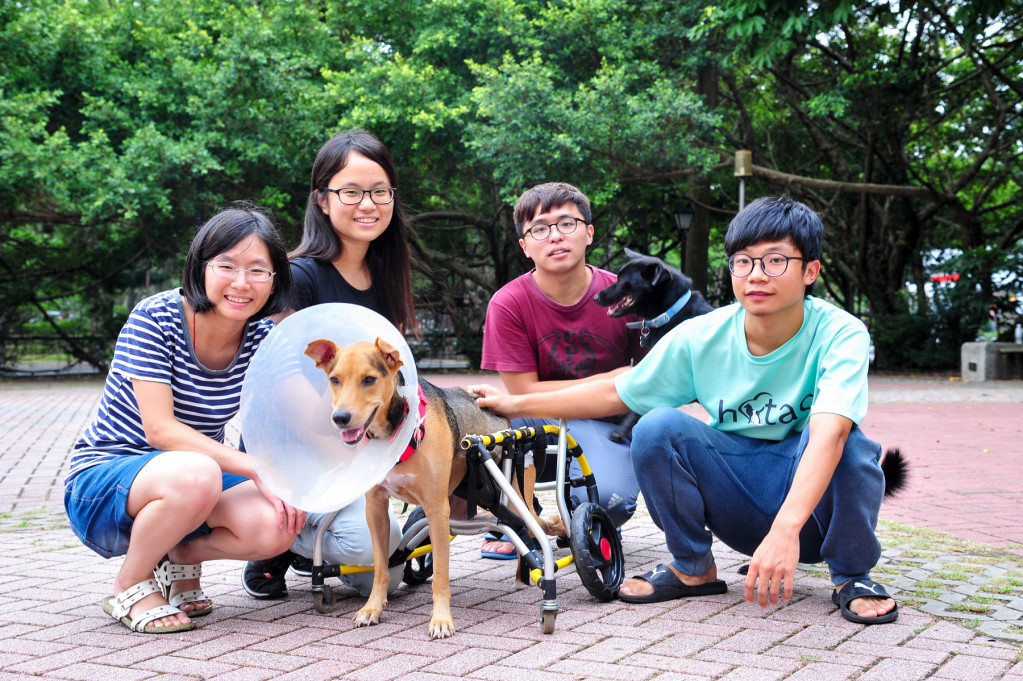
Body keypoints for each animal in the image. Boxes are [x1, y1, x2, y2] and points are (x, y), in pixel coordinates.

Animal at [302, 337, 519, 638]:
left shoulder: (437, 509)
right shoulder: (376, 508)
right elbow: (381, 567)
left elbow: (440, 574)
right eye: (334, 379)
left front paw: (441, 620)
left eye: (369, 379)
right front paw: (372, 608)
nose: (340, 418)